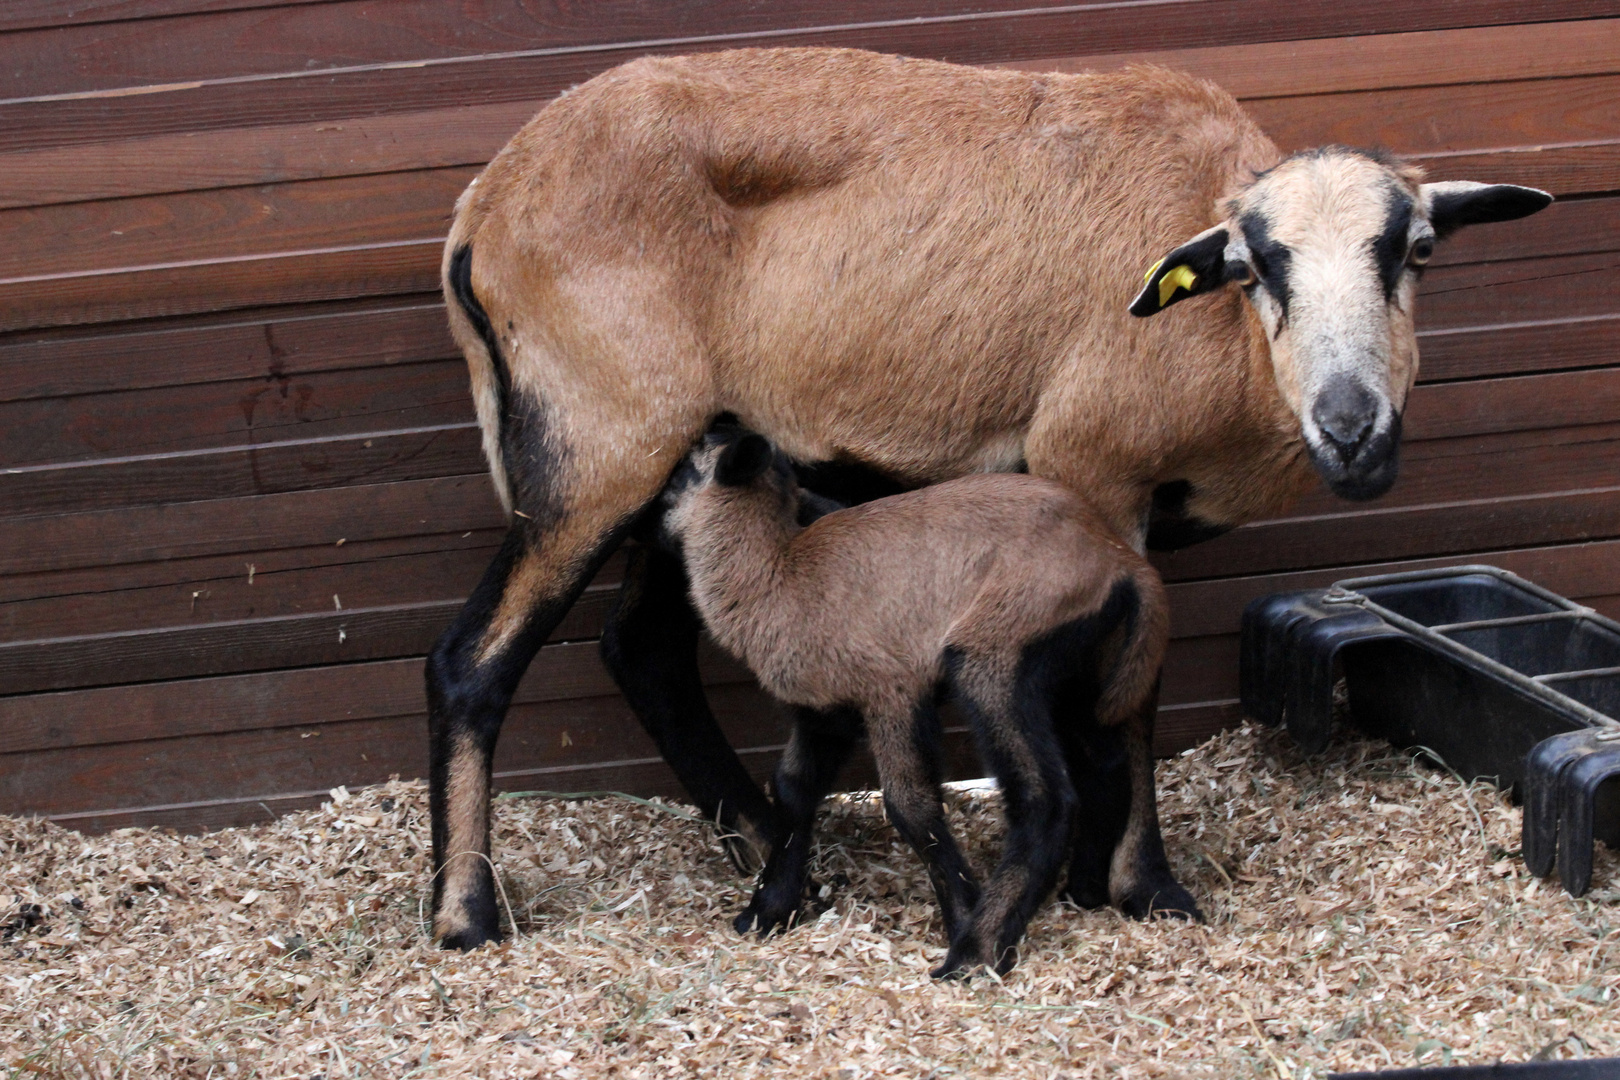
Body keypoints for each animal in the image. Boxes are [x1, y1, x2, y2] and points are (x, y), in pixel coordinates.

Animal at [427, 46, 1542, 952]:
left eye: (1414, 250)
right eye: (1258, 264)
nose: (1353, 428)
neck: (1228, 354)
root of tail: (484, 205)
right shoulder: (1092, 466)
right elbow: (1130, 697)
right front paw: (1140, 887)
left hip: (676, 465)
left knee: (645, 650)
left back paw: (766, 848)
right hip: (595, 447)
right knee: (472, 662)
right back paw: (463, 915)